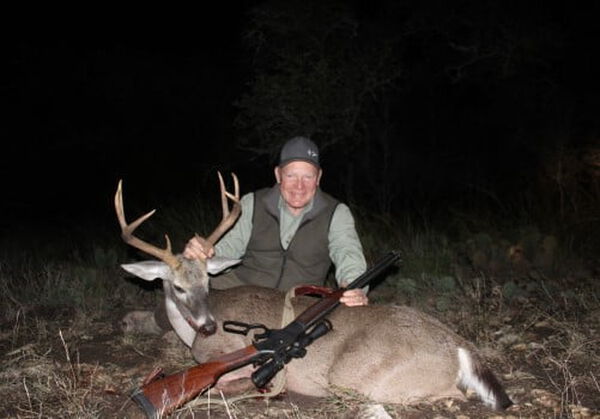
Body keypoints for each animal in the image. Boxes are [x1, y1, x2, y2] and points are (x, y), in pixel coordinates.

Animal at [115, 173, 512, 410]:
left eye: (206, 283)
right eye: (178, 286)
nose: (209, 325)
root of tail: (460, 345)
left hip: (357, 376)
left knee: (454, 392)